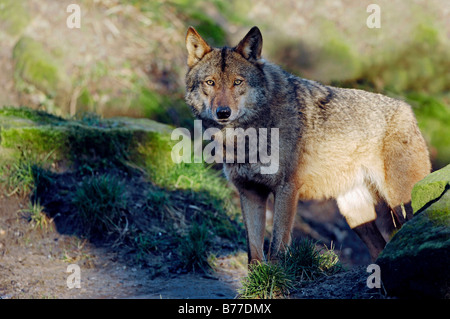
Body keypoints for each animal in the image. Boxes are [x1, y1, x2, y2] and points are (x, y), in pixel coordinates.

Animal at [184, 26, 432, 262]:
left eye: (237, 82)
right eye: (210, 83)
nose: (223, 112)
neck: (244, 138)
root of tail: (408, 110)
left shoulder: (286, 189)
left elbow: (277, 249)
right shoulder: (249, 192)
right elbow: (254, 254)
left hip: (402, 203)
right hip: (354, 213)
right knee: (379, 248)